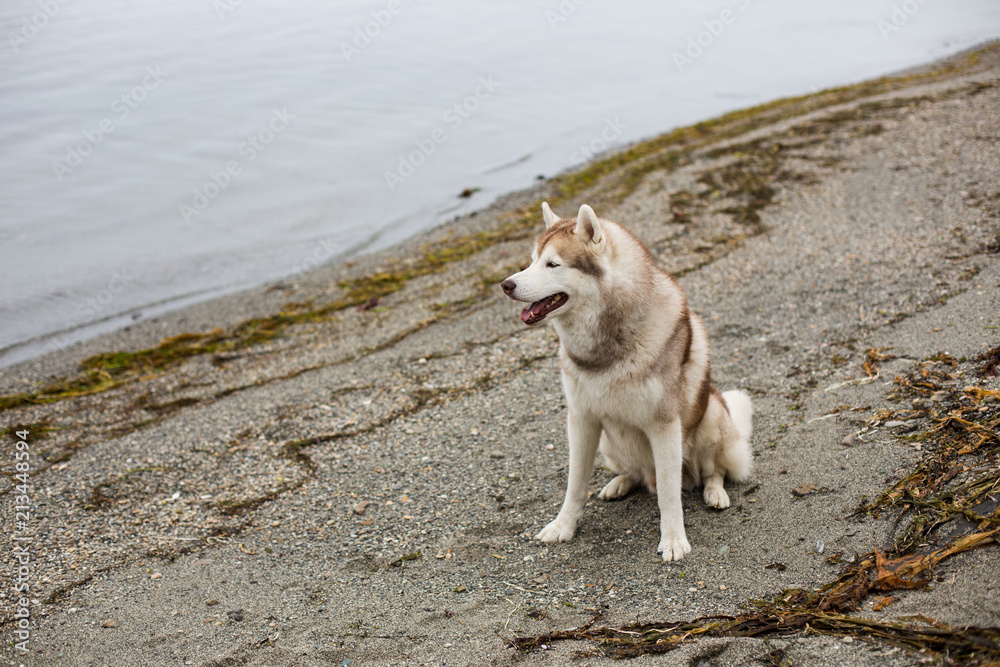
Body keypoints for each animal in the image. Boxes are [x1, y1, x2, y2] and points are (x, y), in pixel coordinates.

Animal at [500, 205, 752, 564]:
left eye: (553, 264)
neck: (607, 350)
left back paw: (714, 492)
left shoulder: (664, 426)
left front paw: (673, 540)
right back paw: (620, 484)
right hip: (608, 442)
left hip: (713, 414)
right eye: (532, 260)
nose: (506, 285)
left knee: (712, 471)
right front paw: (563, 526)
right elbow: (575, 485)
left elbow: (669, 494)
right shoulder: (581, 420)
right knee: (636, 473)